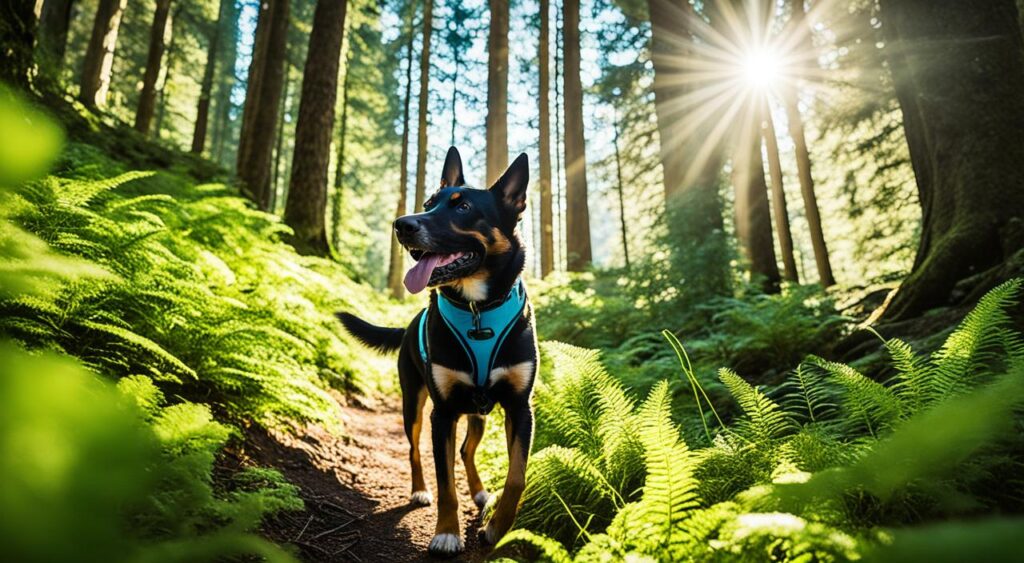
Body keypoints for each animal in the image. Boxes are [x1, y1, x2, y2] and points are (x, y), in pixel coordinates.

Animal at [339, 147, 540, 556]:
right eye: (429, 203)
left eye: (462, 207)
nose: (402, 225)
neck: (478, 307)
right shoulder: (443, 413)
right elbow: (446, 483)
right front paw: (446, 532)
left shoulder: (519, 408)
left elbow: (516, 477)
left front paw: (497, 529)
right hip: (414, 404)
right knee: (415, 450)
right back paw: (420, 490)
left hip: (478, 414)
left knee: (466, 450)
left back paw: (480, 494)